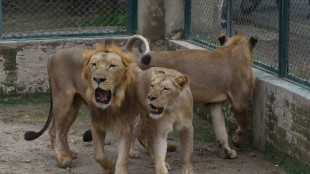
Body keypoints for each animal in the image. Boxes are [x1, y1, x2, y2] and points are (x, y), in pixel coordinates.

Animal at [24, 41, 141, 173]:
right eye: (94, 65)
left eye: (112, 66)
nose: (98, 79)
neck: (114, 103)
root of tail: (52, 56)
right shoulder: (96, 122)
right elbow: (99, 155)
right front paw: (109, 167)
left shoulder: (127, 124)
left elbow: (123, 157)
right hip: (62, 99)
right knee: (54, 130)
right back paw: (62, 158)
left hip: (73, 105)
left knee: (63, 130)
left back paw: (68, 153)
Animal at [124, 32, 258, 159]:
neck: (234, 47)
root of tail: (135, 60)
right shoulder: (239, 102)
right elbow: (244, 125)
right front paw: (237, 141)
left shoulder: (215, 104)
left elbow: (221, 129)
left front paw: (226, 151)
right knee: (140, 131)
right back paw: (141, 153)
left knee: (137, 129)